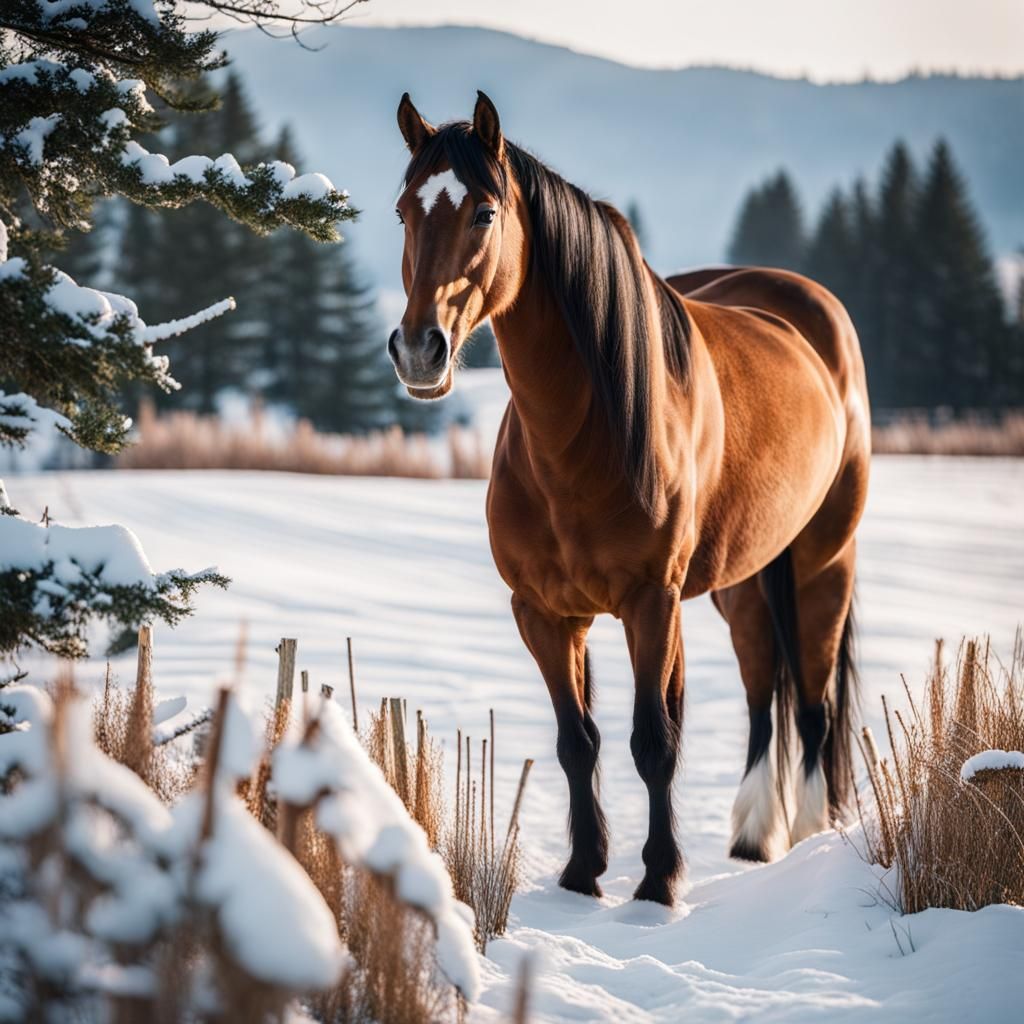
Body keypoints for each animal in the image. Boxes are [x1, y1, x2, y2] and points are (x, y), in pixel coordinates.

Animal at [389, 91, 870, 907]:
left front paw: (656, 881)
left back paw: (807, 830)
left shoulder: (650, 601)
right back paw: (753, 832)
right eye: (402, 212)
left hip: (821, 562)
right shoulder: (546, 613)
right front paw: (584, 873)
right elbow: (577, 742)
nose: (420, 350)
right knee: (760, 687)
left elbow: (654, 741)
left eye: (484, 212)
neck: (579, 441)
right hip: (743, 583)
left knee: (811, 699)